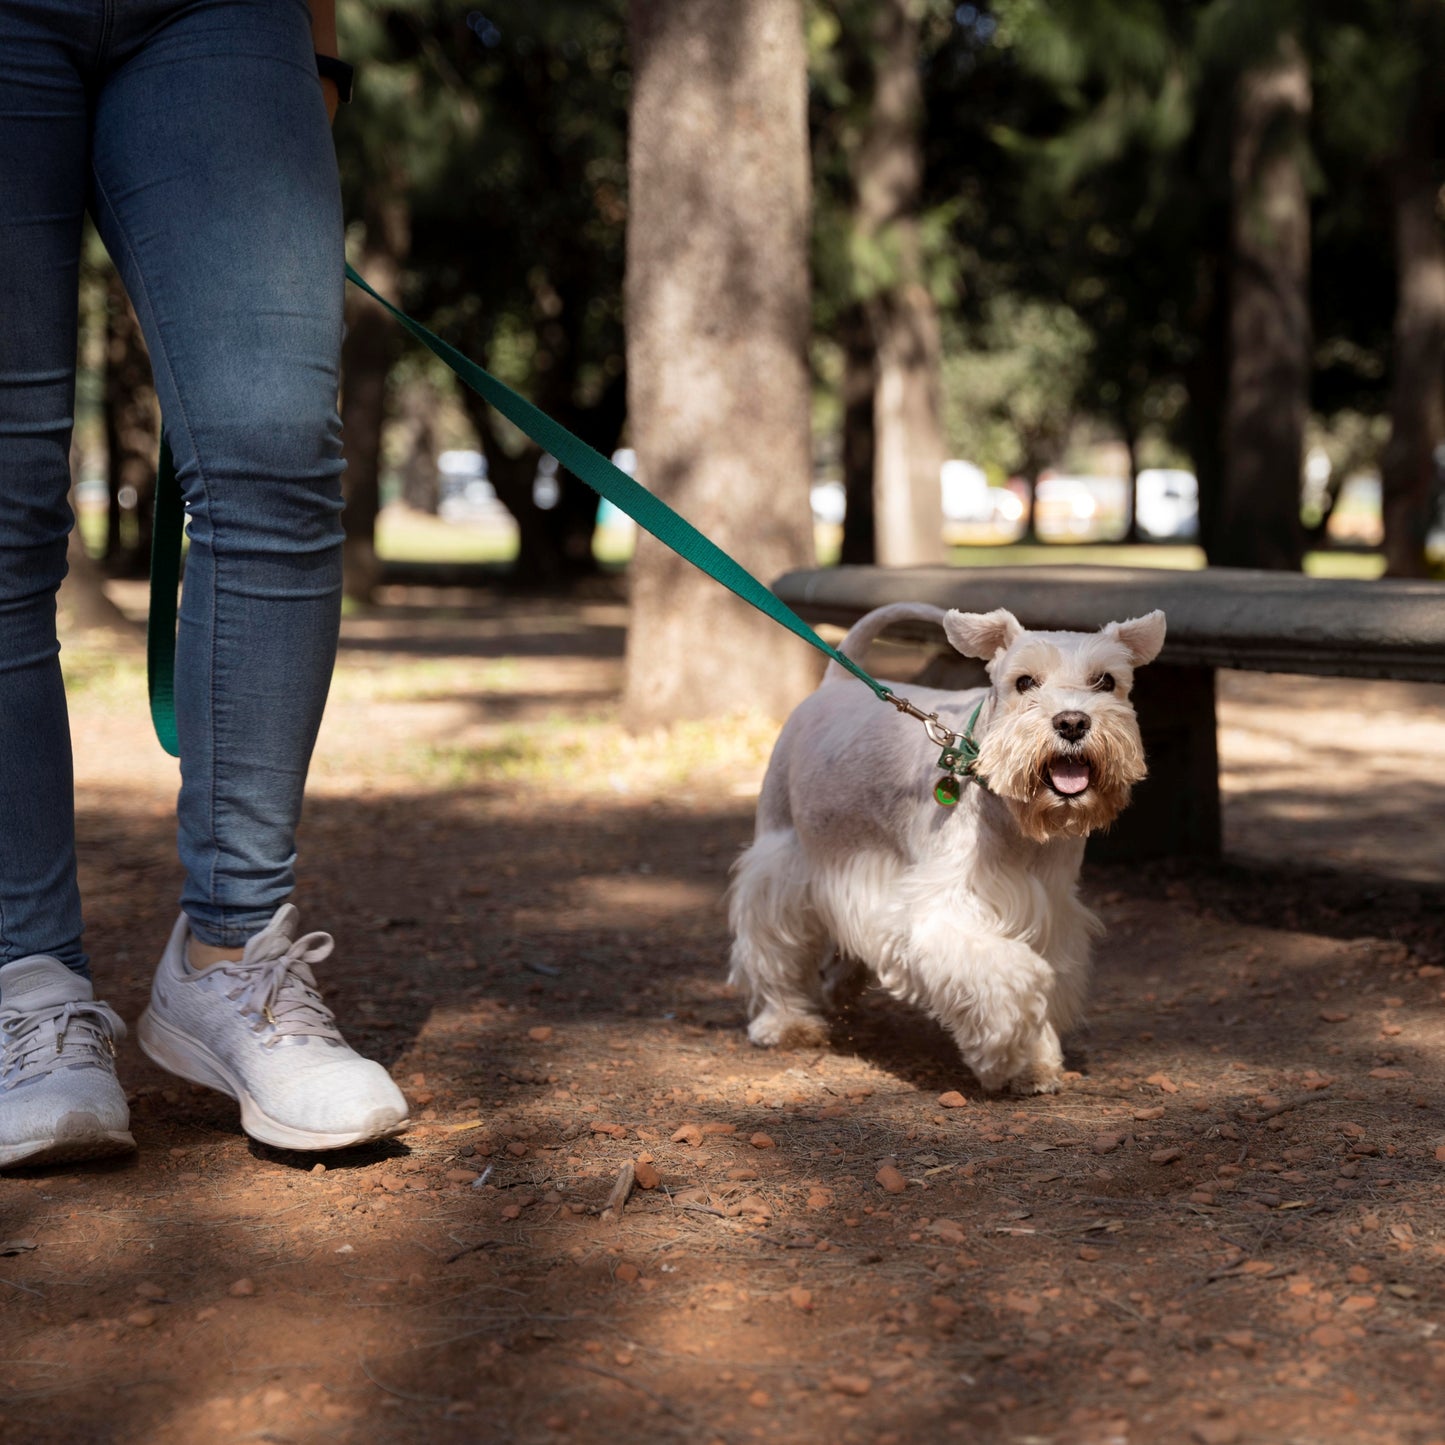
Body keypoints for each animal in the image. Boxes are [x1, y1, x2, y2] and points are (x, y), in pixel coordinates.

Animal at [728, 601, 1167, 1092]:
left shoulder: (1051, 911)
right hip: (782, 854)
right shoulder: (943, 912)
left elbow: (1046, 978)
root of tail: (834, 683)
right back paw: (784, 1021)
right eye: (1024, 682)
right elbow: (1016, 978)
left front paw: (1035, 1064)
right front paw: (1005, 1055)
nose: (1072, 722)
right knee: (771, 942)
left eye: (1106, 681)